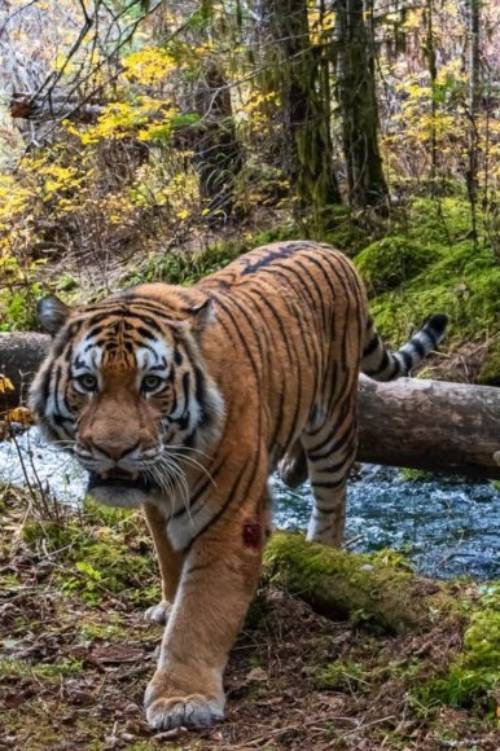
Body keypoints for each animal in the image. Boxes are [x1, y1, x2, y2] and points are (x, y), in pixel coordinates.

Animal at [29, 240, 447, 731]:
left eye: (151, 383)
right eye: (87, 382)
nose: (114, 450)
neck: (170, 467)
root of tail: (330, 247)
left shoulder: (231, 519)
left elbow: (200, 610)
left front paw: (182, 697)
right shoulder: (156, 501)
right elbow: (169, 559)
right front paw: (168, 606)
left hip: (334, 421)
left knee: (332, 500)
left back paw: (323, 551)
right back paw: (291, 470)